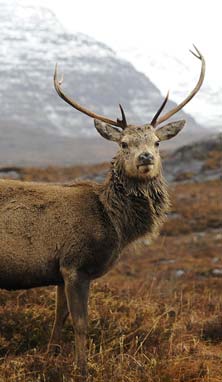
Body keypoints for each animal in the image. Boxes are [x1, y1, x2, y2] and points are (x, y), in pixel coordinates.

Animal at [0, 46, 206, 378]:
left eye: (157, 142)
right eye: (123, 143)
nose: (145, 157)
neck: (115, 225)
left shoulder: (60, 271)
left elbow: (58, 319)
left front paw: (49, 359)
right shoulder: (76, 264)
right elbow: (81, 324)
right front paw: (81, 370)